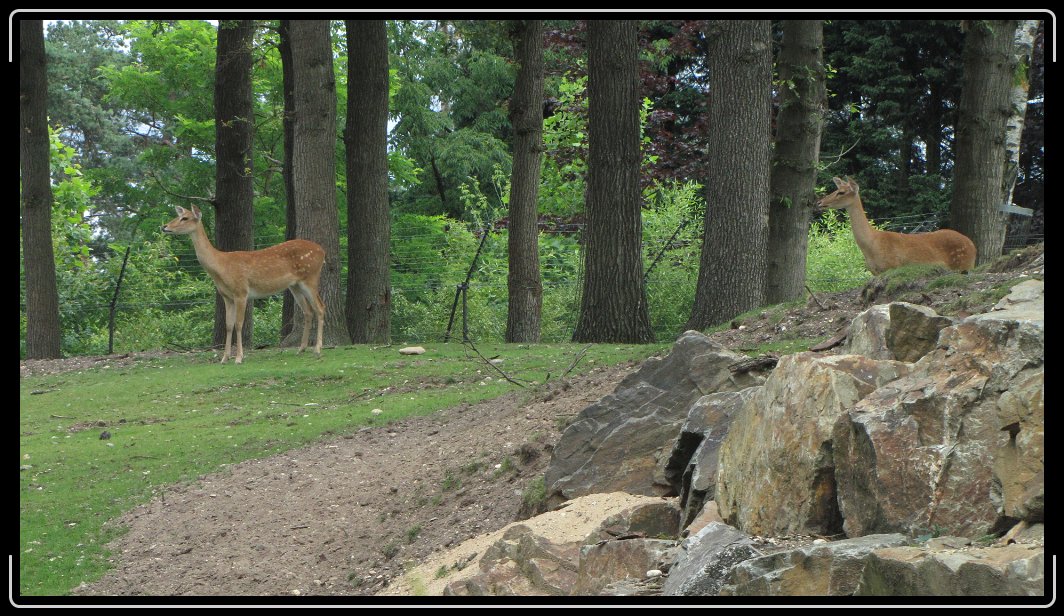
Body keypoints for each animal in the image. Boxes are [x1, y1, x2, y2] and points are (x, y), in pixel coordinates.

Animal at [160, 205, 323, 363]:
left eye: (185, 218)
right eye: (179, 215)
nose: (164, 226)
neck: (221, 267)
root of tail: (322, 252)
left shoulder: (241, 291)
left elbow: (239, 324)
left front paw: (239, 357)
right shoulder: (226, 296)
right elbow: (228, 325)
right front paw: (225, 358)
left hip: (311, 277)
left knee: (320, 307)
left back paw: (317, 349)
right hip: (295, 285)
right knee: (308, 311)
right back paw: (301, 349)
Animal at [817, 177, 974, 276]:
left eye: (841, 192)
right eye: (835, 189)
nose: (820, 202)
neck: (871, 245)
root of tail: (973, 246)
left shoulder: (892, 266)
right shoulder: (875, 273)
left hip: (963, 264)